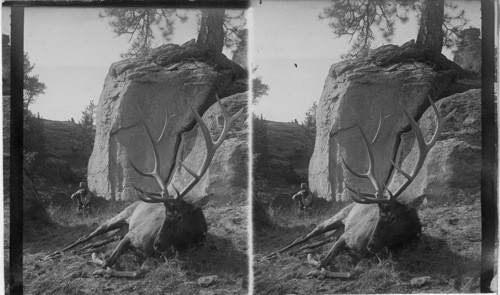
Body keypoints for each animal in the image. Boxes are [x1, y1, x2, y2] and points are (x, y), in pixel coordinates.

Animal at [44, 97, 243, 280]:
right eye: (165, 213)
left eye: (179, 216)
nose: (157, 244)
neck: (181, 245)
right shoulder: (132, 235)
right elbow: (109, 260)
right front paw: (99, 264)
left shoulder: (153, 255)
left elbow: (137, 272)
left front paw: (103, 266)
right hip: (118, 218)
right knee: (85, 237)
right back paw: (52, 254)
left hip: (118, 232)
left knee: (95, 242)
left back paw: (83, 251)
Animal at [264, 97, 456, 280]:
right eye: (379, 215)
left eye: (393, 217)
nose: (371, 244)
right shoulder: (346, 236)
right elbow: (323, 262)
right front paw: (313, 266)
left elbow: (352, 272)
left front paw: (316, 265)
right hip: (334, 220)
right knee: (303, 237)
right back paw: (270, 255)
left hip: (334, 233)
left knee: (312, 243)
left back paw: (296, 252)